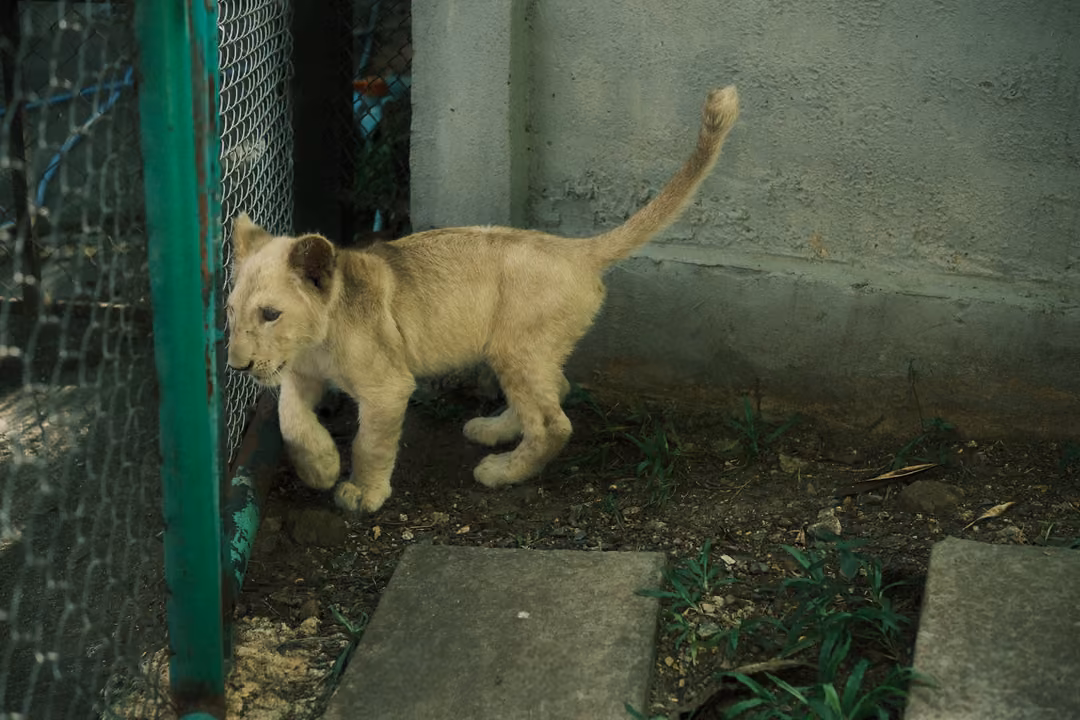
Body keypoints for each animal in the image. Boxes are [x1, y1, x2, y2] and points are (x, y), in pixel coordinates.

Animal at [226, 85, 740, 513]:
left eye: (270, 314)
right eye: (230, 312)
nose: (237, 366)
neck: (315, 341)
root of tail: (575, 250)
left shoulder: (387, 386)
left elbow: (369, 443)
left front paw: (362, 491)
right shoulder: (300, 374)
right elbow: (290, 419)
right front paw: (320, 468)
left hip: (516, 347)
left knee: (553, 423)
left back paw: (502, 470)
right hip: (524, 351)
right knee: (556, 390)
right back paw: (494, 429)